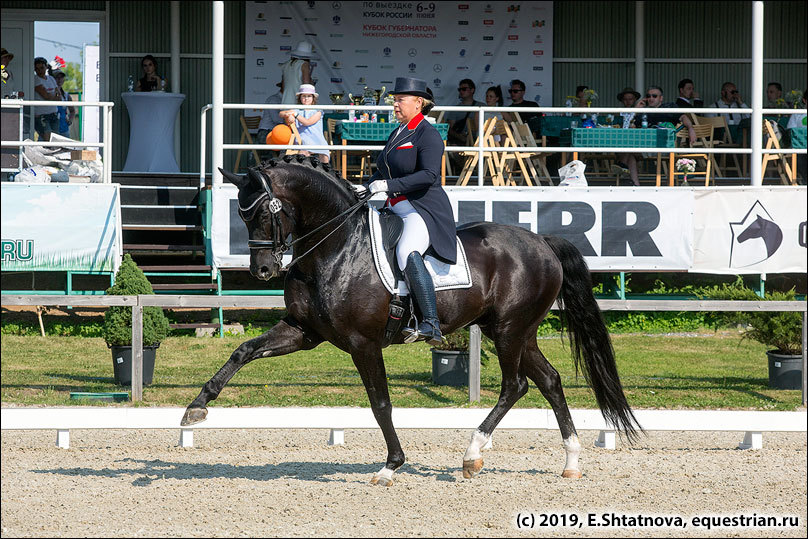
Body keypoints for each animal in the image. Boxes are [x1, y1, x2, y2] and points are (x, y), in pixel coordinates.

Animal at [181, 155, 636, 486]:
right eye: (241, 216)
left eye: (264, 213)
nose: (261, 270)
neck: (335, 247)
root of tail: (541, 240)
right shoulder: (304, 331)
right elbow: (243, 350)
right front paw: (197, 408)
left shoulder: (362, 342)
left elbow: (380, 403)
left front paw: (390, 466)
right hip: (513, 331)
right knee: (550, 380)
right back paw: (571, 462)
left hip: (509, 330)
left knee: (516, 385)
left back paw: (472, 456)